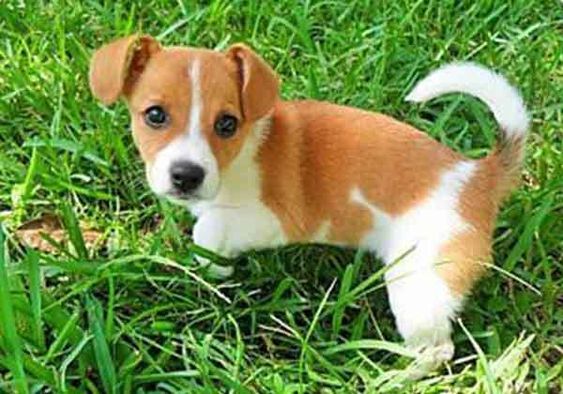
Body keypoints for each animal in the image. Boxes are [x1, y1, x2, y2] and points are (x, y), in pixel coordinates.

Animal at [88, 34, 528, 376]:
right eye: (155, 115)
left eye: (227, 124)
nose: (186, 175)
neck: (242, 153)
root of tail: (477, 175)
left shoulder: (279, 219)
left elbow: (209, 228)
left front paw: (210, 268)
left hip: (419, 286)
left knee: (439, 350)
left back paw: (389, 377)